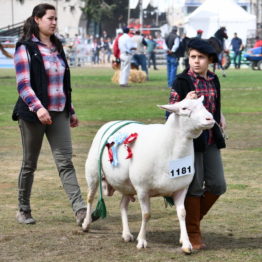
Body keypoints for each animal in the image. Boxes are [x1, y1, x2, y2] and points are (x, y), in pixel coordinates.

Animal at [82, 96, 215, 254]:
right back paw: (86, 224)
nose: (210, 119)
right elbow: (146, 214)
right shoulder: (142, 189)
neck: (169, 150)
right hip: (93, 174)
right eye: (184, 108)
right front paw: (142, 241)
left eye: (203, 105)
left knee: (122, 205)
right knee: (90, 198)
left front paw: (186, 244)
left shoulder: (181, 188)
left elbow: (183, 213)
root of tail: (111, 122)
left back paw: (126, 234)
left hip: (127, 185)